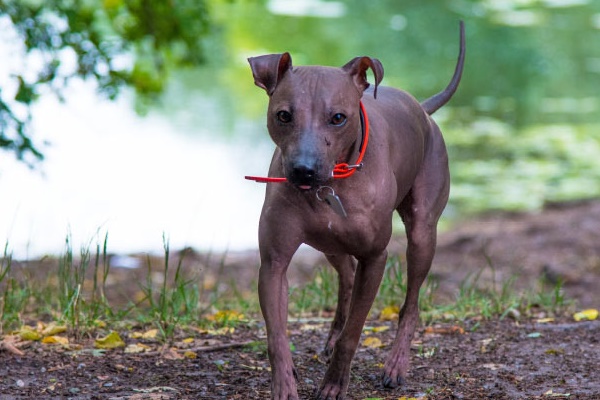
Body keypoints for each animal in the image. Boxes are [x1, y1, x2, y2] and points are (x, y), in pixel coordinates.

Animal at [246, 21, 466, 400]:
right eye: (283, 115)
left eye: (338, 118)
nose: (304, 170)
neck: (328, 186)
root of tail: (422, 108)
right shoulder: (273, 263)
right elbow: (277, 337)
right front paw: (285, 384)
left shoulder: (375, 258)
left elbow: (354, 334)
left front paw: (334, 383)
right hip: (330, 245)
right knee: (346, 279)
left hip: (422, 233)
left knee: (410, 304)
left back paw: (396, 364)